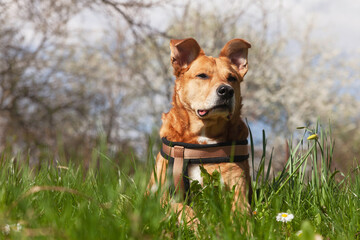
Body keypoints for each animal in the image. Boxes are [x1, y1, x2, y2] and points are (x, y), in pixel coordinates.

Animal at [148, 37, 252, 225]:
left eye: (232, 78)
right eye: (202, 75)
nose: (227, 90)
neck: (203, 137)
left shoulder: (237, 190)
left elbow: (241, 213)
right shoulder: (158, 198)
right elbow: (181, 207)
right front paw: (197, 224)